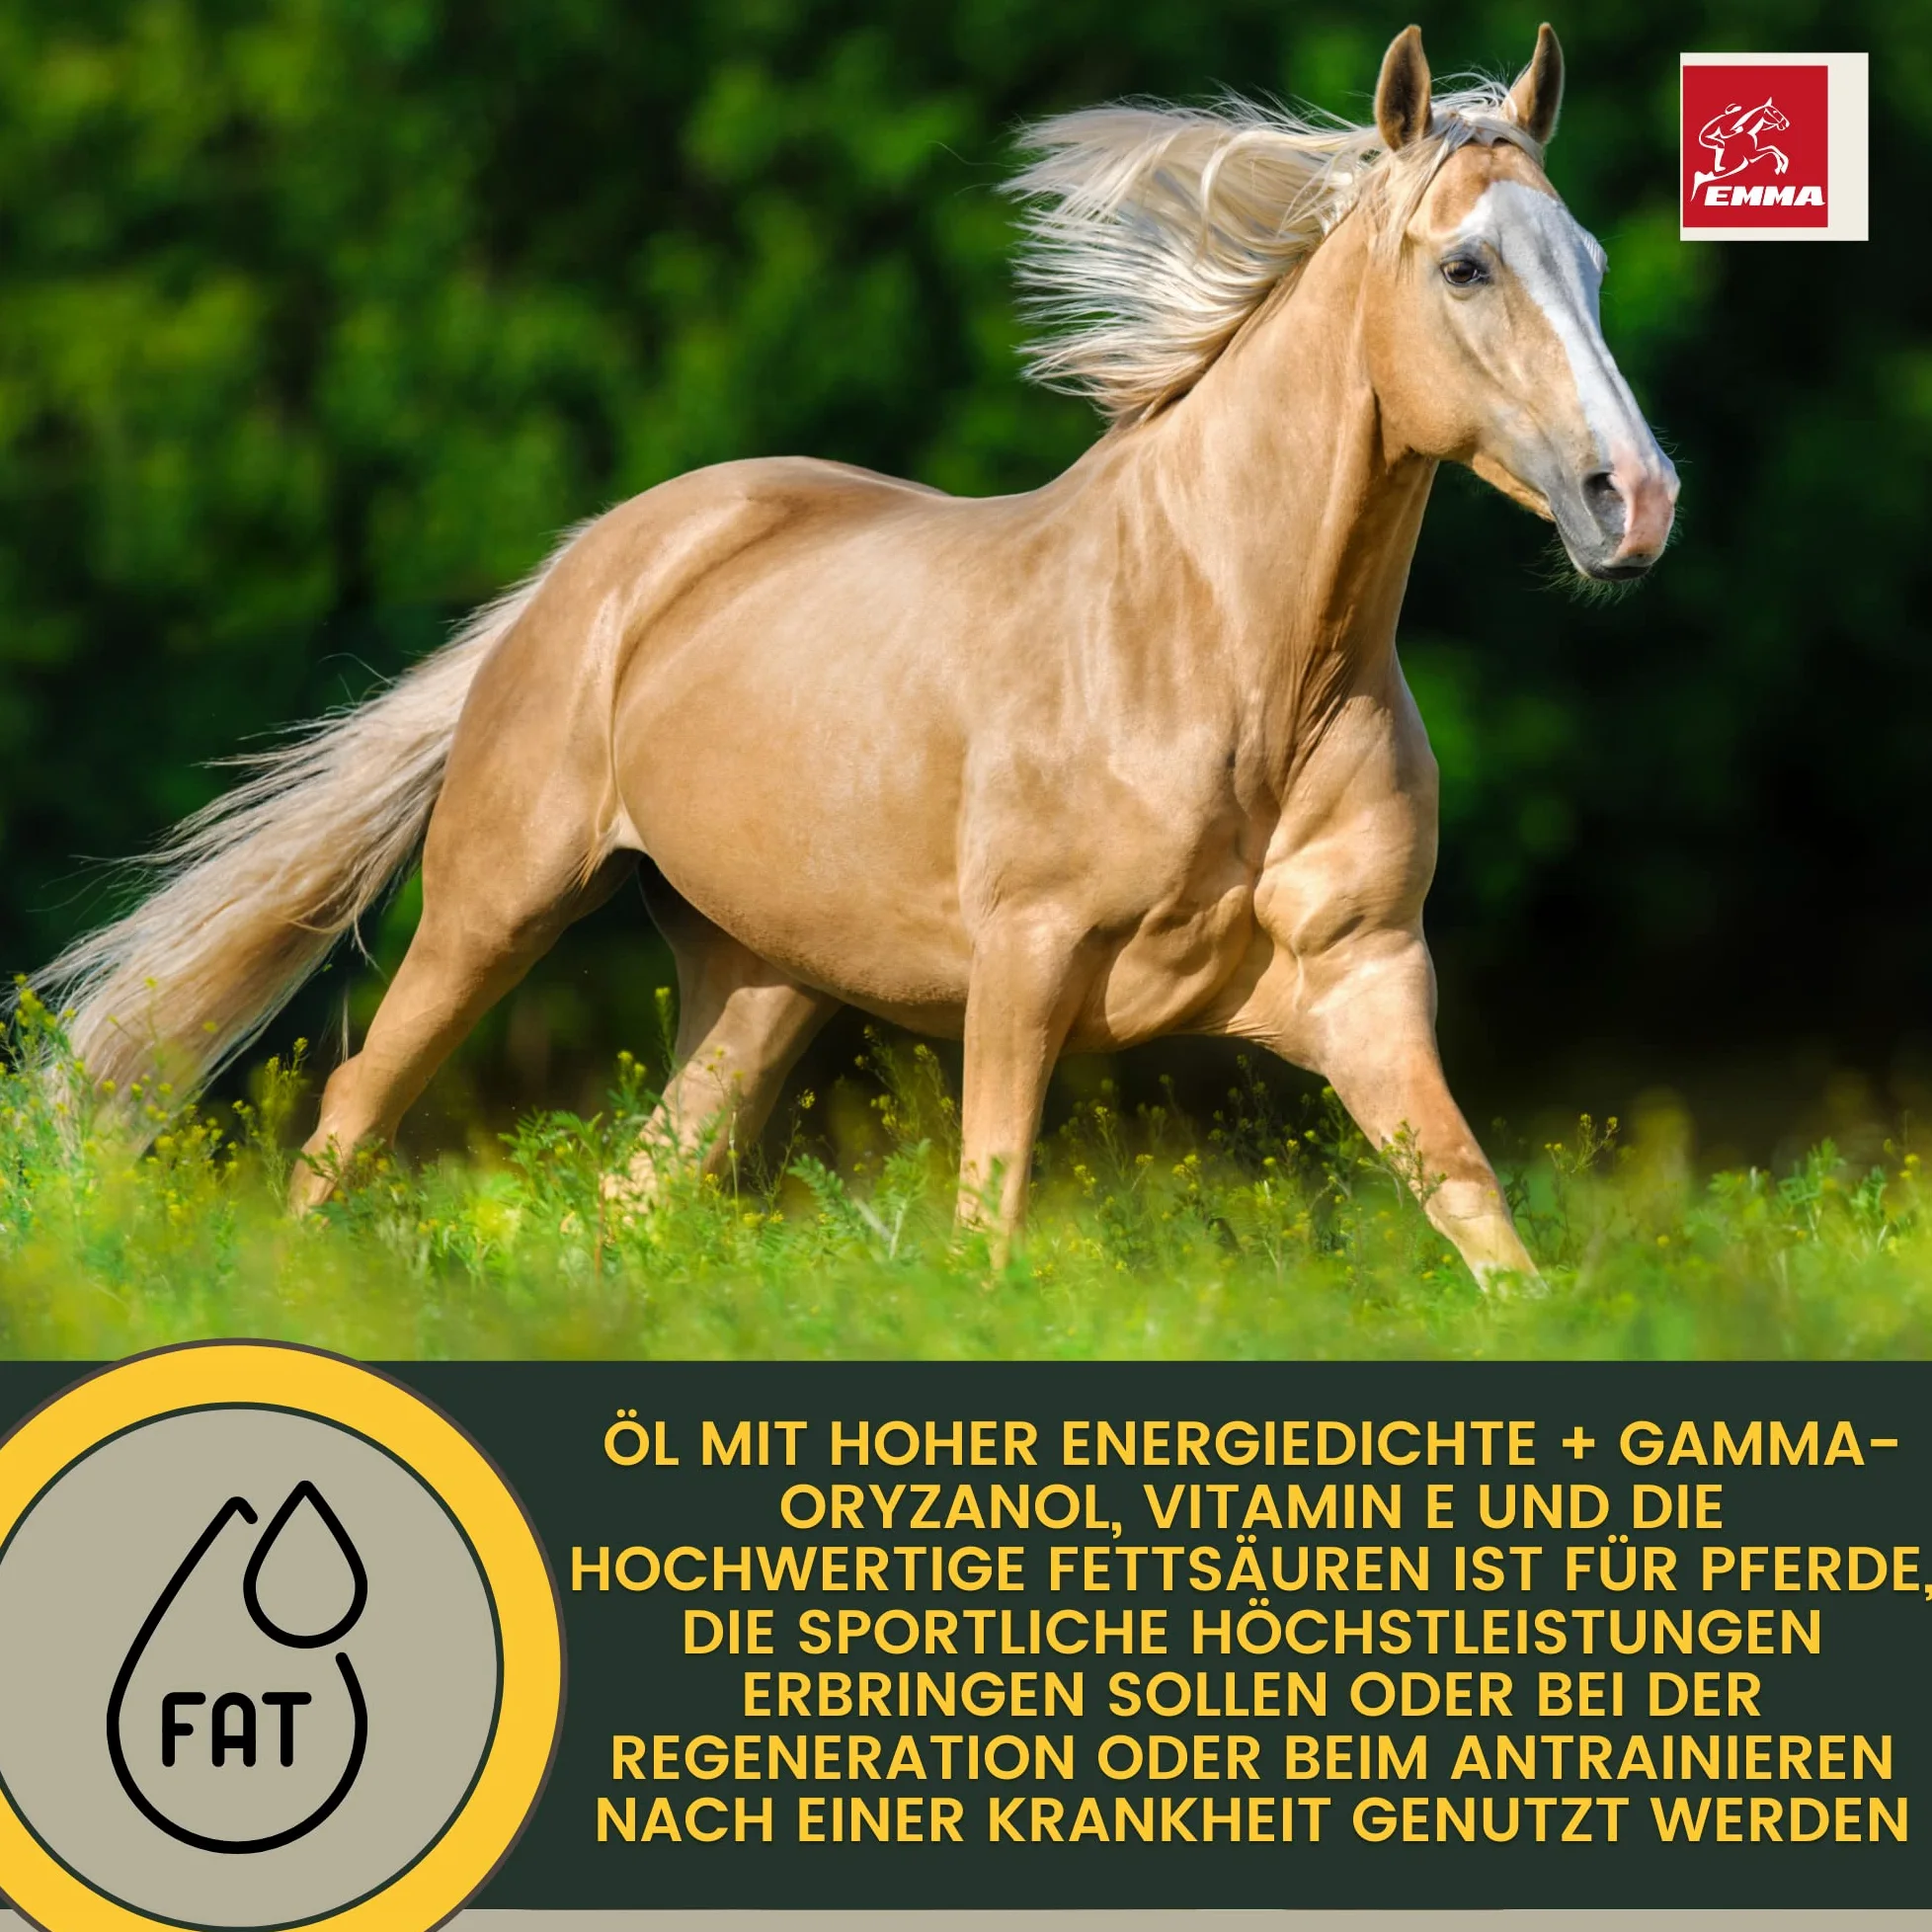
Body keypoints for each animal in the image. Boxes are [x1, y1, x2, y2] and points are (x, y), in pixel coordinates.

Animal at [35, 24, 1677, 1282]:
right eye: (1465, 268)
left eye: (1594, 260)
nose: (1635, 500)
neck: (1235, 664)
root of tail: (600, 560)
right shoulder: (1024, 966)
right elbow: (986, 1232)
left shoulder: (1368, 983)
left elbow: (1490, 1234)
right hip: (494, 906)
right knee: (351, 1117)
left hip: (758, 986)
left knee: (632, 1193)